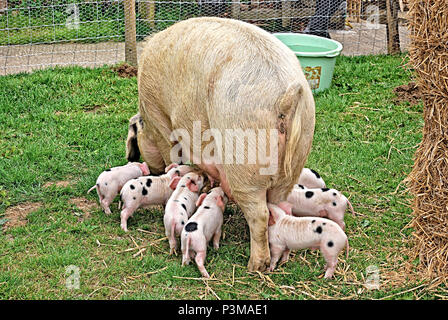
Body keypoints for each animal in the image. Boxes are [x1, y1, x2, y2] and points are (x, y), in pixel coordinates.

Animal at [126, 17, 316, 272]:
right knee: (275, 205)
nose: (150, 169)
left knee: (259, 213)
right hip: (295, 159)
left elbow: (171, 156)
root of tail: (286, 97)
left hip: (243, 157)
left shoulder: (161, 120)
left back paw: (255, 266)